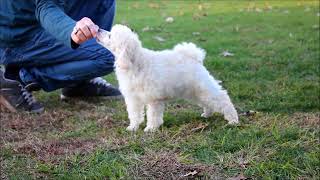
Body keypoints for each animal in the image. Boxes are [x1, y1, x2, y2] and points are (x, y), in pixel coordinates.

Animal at [96, 24, 239, 131]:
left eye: (110, 35)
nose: (97, 29)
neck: (135, 64)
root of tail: (193, 58)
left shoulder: (154, 99)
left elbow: (153, 116)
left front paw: (151, 129)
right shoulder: (133, 99)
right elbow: (134, 114)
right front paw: (133, 127)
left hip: (203, 87)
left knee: (222, 98)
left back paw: (233, 120)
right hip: (194, 91)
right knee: (207, 102)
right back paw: (207, 114)